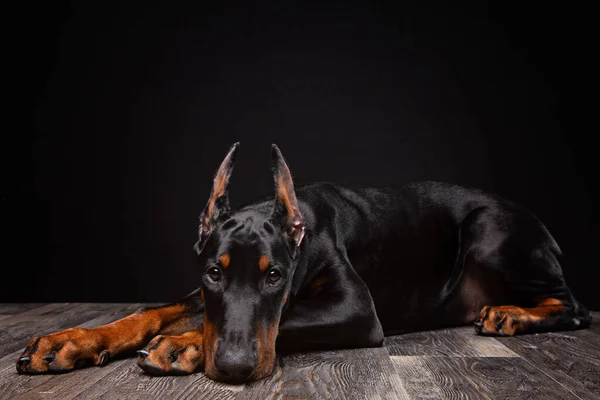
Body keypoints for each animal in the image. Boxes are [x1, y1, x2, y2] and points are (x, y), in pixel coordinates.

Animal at [15, 143, 592, 382]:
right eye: (214, 272)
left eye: (274, 275)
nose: (234, 367)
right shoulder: (202, 290)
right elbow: (155, 312)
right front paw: (71, 341)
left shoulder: (357, 308)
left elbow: (281, 319)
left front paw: (182, 346)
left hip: (488, 230)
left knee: (576, 307)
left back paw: (511, 314)